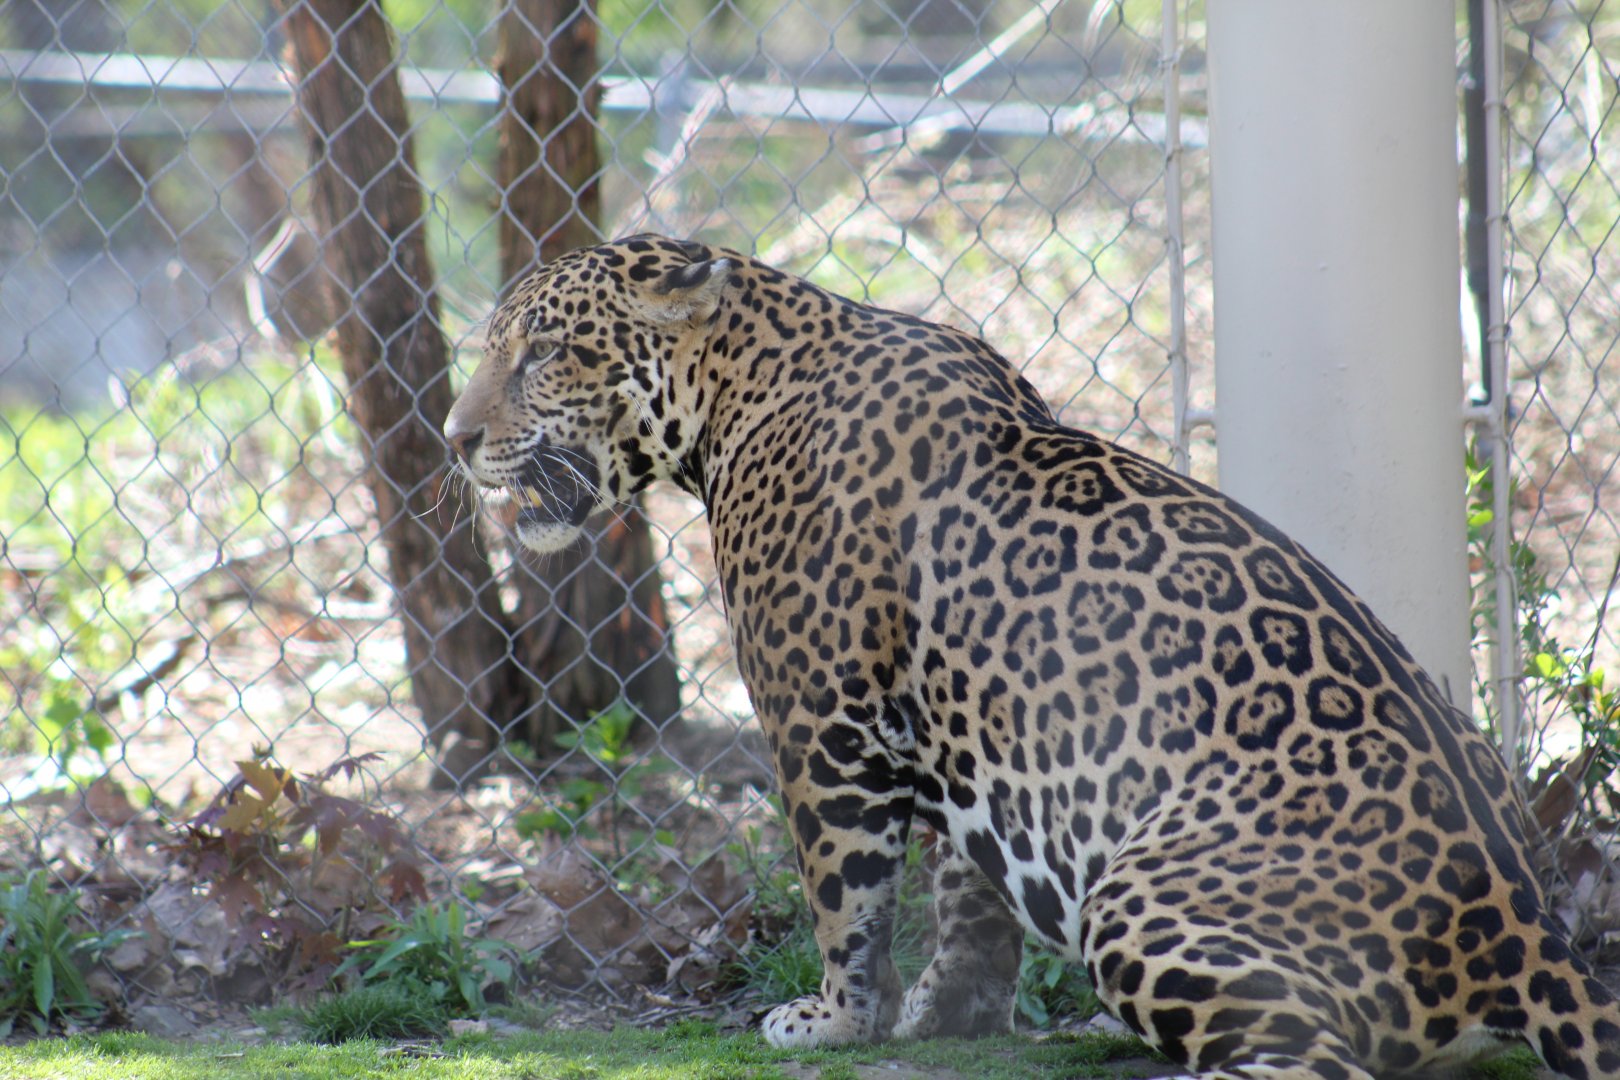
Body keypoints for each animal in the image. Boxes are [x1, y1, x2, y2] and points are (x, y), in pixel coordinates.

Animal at [444, 234, 1620, 1079]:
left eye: (542, 353)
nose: (455, 438)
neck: (738, 390)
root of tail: (1524, 917)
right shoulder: (973, 733)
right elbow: (970, 886)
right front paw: (946, 1012)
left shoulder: (819, 722)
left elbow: (844, 891)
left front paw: (836, 1019)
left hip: (1142, 897)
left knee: (1314, 1060)